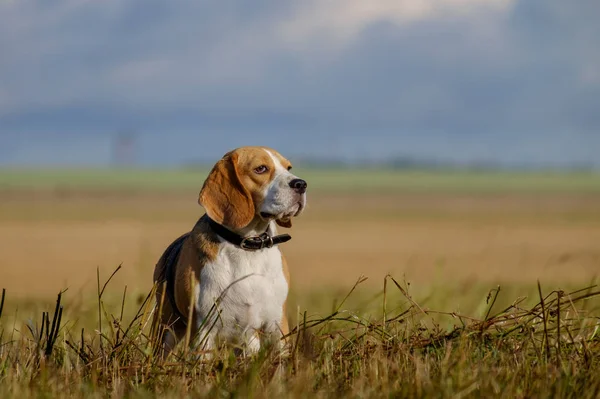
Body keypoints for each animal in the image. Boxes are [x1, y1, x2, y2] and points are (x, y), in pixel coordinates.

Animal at [152, 146, 308, 356]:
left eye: (288, 167)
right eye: (261, 168)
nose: (301, 184)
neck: (248, 247)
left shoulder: (277, 326)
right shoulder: (204, 332)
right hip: (165, 330)